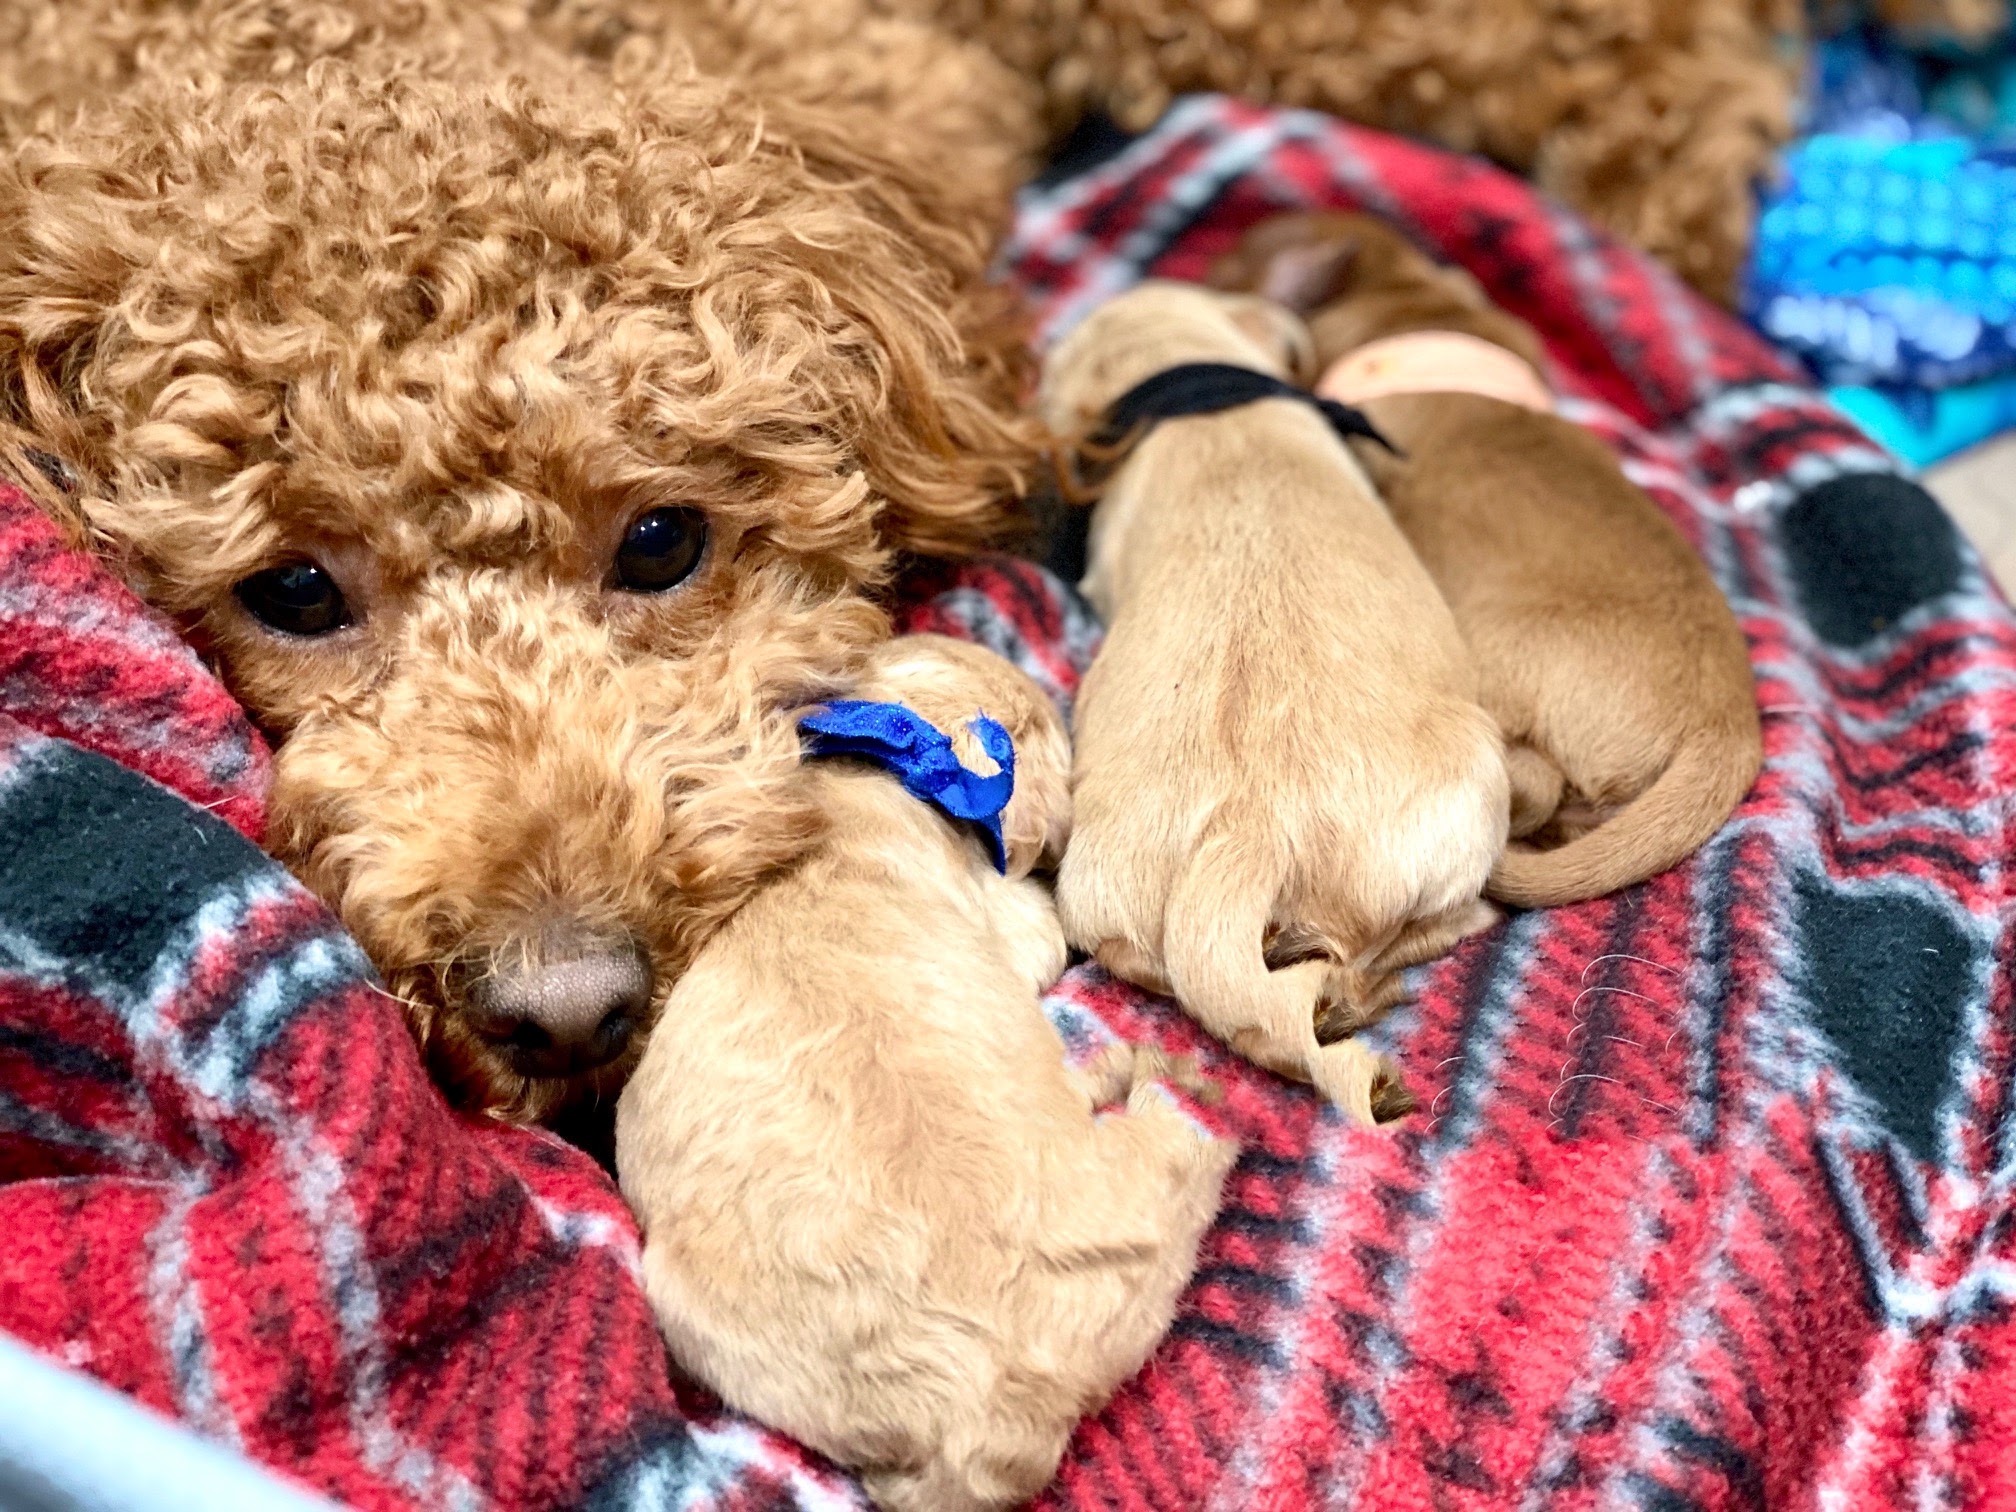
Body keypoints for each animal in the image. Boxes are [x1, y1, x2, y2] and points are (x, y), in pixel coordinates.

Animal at [608, 633, 1225, 1512]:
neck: (874, 759)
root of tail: (995, 1416)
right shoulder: (1010, 917)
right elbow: (1038, 929)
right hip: (1147, 1197)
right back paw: (1143, 1073)